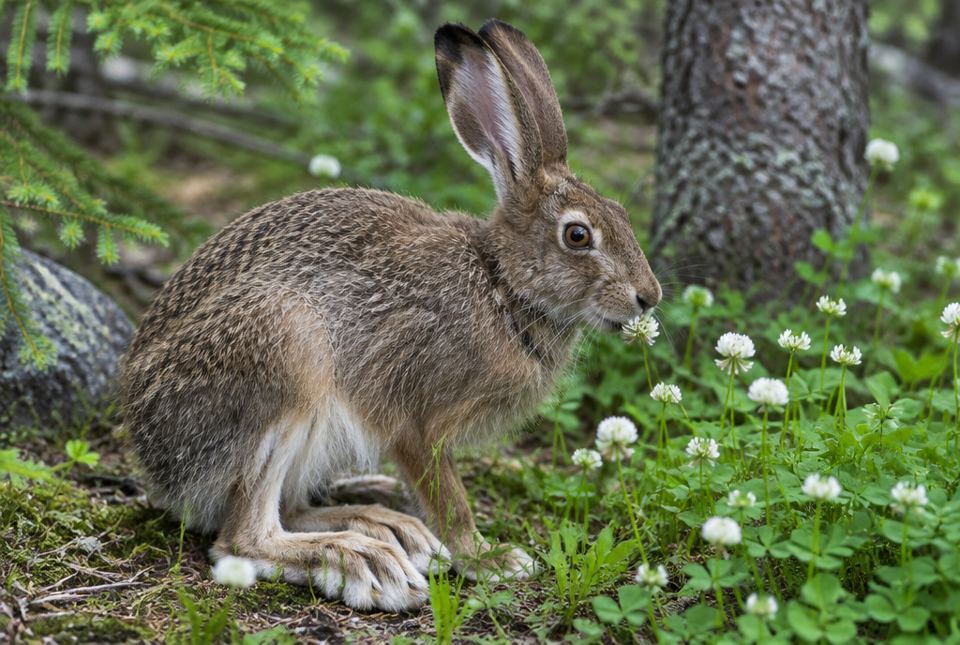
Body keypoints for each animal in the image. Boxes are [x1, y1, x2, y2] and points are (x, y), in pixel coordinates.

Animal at [119, 19, 661, 612]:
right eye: (578, 235)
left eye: (623, 214)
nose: (649, 296)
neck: (501, 283)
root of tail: (155, 460)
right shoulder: (417, 422)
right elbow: (449, 498)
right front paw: (489, 558)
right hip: (283, 357)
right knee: (244, 537)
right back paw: (362, 559)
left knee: (289, 509)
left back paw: (384, 525)